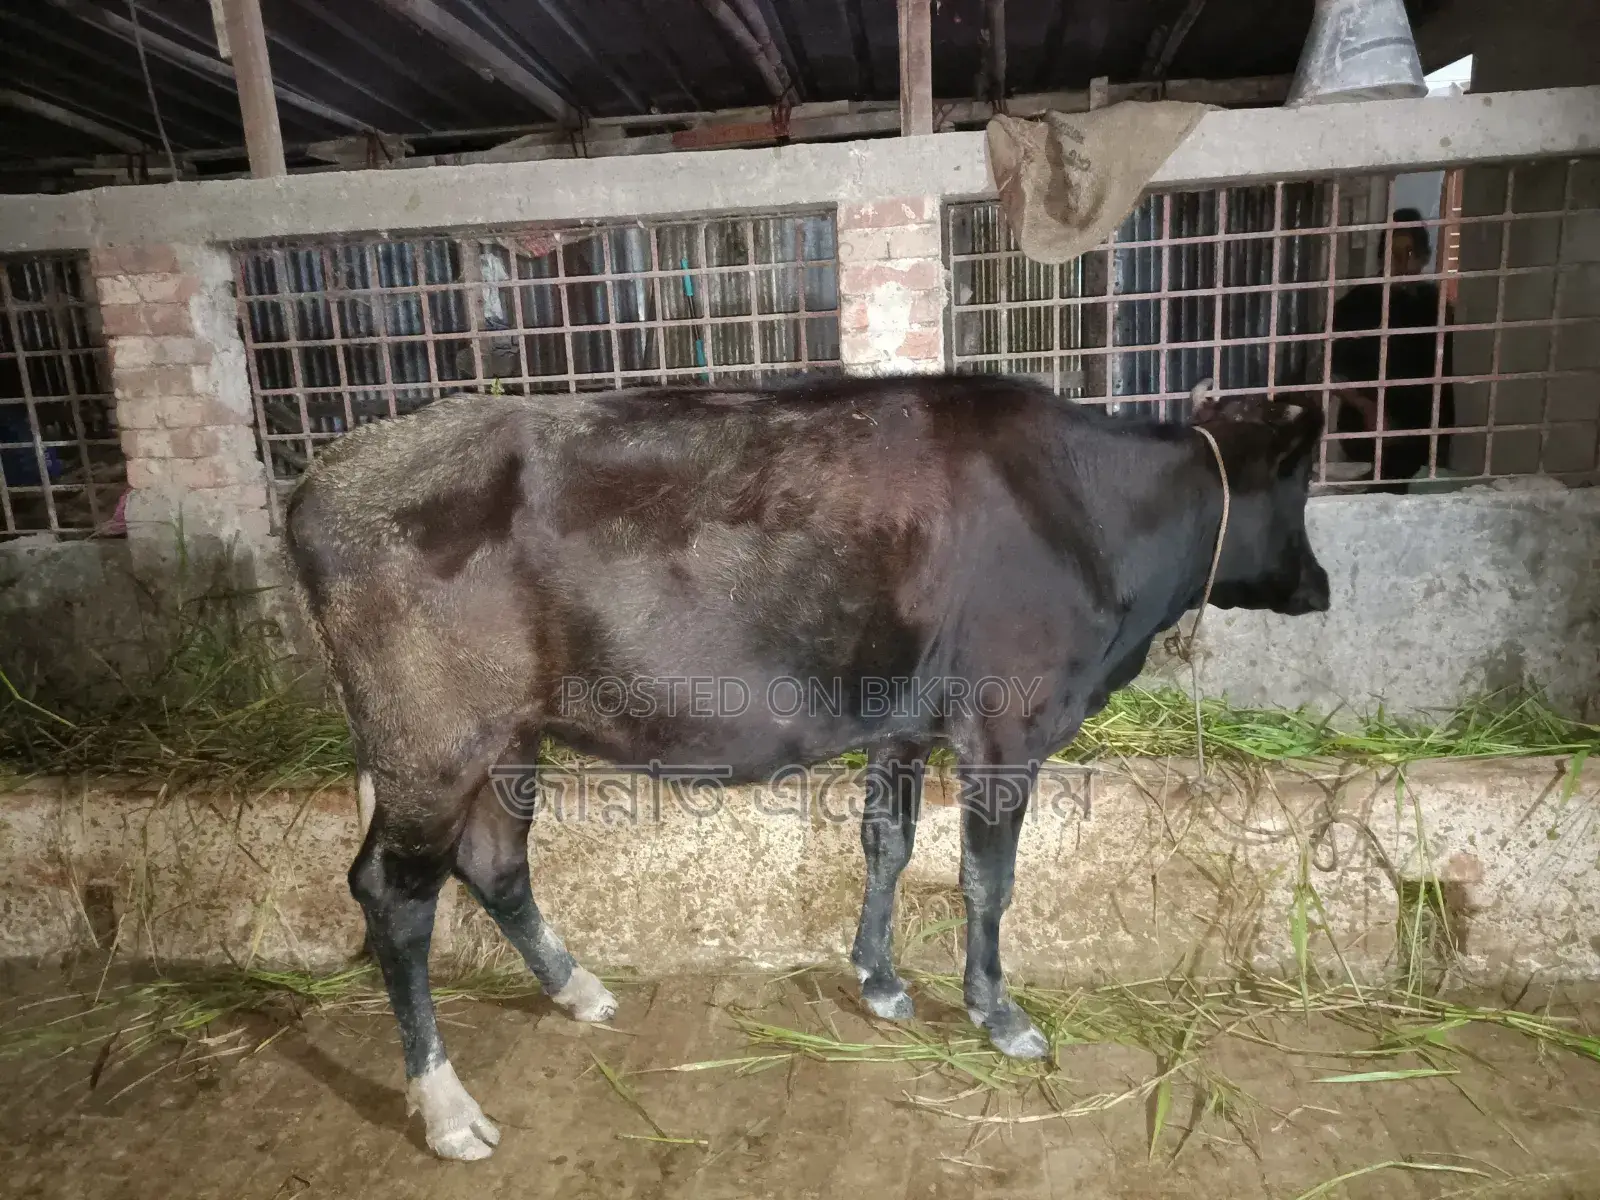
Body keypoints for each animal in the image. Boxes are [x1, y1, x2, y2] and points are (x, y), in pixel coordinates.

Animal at [283, 372, 1330, 1160]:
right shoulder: (1006, 726)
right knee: (391, 892)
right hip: (429, 736)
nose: (1321, 586)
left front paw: (879, 980)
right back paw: (448, 1108)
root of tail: (327, 473)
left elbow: (888, 847)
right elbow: (987, 880)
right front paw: (999, 1015)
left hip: (506, 736)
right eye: (1301, 490)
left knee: (495, 859)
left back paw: (576, 988)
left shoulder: (905, 726)